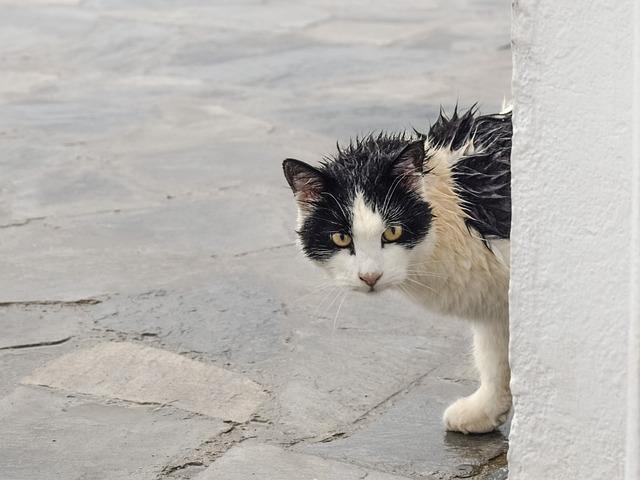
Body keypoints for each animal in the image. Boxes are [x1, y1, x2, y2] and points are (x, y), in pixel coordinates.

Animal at [282, 106, 512, 436]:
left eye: (392, 232)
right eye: (341, 238)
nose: (370, 277)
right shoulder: (494, 303)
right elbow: (494, 358)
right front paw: (486, 410)